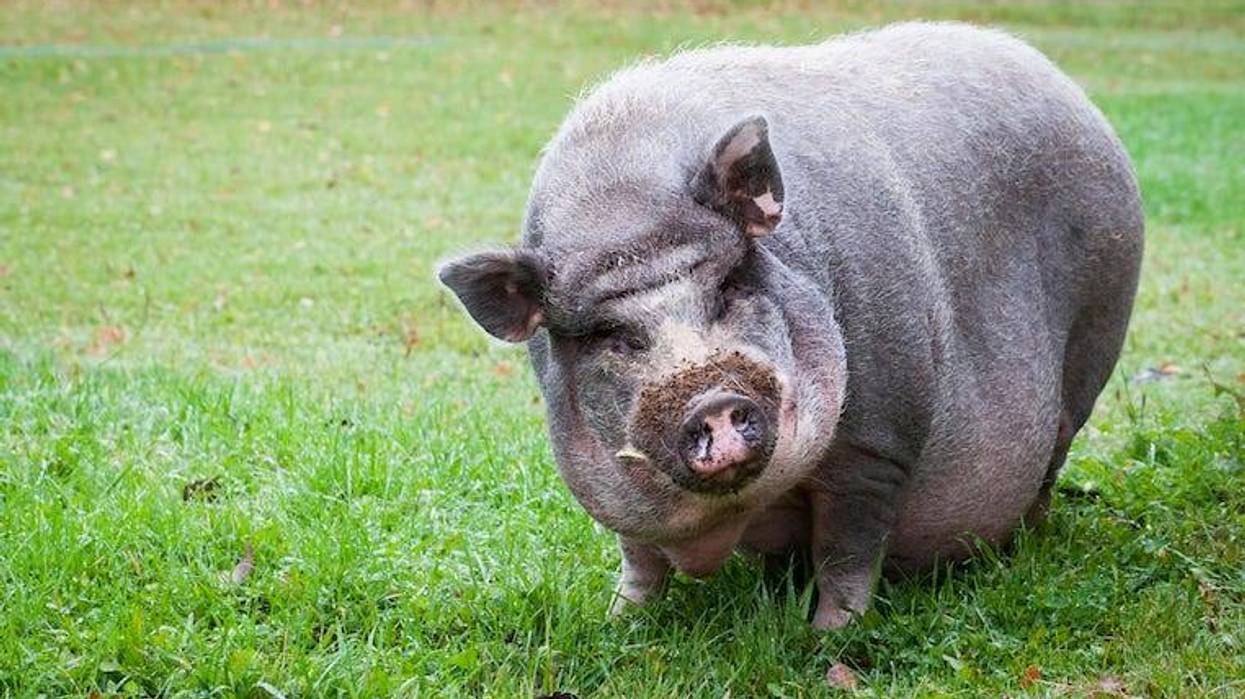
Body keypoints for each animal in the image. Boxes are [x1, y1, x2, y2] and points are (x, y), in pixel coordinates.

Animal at [438, 21, 1143, 629]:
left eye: (730, 284)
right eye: (610, 335)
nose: (711, 399)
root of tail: (1063, 83)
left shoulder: (879, 441)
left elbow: (847, 551)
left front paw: (831, 638)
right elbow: (638, 557)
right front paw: (619, 622)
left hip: (1095, 339)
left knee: (1052, 455)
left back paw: (1021, 546)